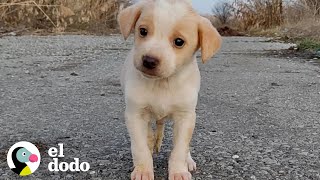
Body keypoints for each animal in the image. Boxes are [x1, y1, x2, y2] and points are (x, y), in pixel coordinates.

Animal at [119, 0, 221, 179]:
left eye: (179, 42)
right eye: (143, 31)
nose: (149, 60)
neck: (162, 83)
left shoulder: (185, 116)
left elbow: (180, 149)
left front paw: (179, 171)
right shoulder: (135, 114)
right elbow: (140, 147)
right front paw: (142, 170)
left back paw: (188, 160)